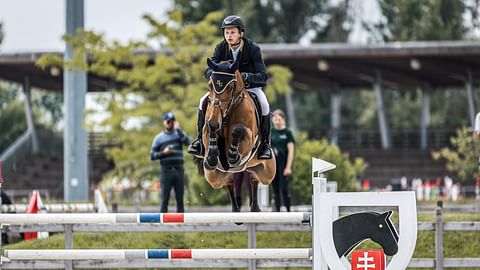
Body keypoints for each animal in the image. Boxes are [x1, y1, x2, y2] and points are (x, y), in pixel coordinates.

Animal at [193, 58, 276, 212]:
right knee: (229, 181)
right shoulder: (207, 126)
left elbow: (238, 130)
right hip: (213, 176)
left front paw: (233, 155)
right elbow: (208, 131)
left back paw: (255, 207)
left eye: (231, 87)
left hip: (268, 171)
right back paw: (236, 209)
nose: (215, 122)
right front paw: (212, 154)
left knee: (255, 179)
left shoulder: (249, 137)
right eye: (210, 85)